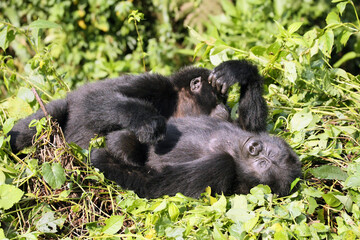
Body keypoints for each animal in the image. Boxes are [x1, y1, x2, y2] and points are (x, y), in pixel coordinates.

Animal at [9, 59, 268, 167]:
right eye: (219, 96)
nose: (226, 107)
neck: (177, 104)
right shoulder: (155, 85)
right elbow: (91, 98)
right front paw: (147, 120)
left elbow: (250, 131)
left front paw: (240, 71)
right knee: (49, 116)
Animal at [91, 116, 302, 199]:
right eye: (264, 150)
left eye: (263, 163)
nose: (254, 147)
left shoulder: (223, 166)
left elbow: (152, 186)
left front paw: (101, 158)